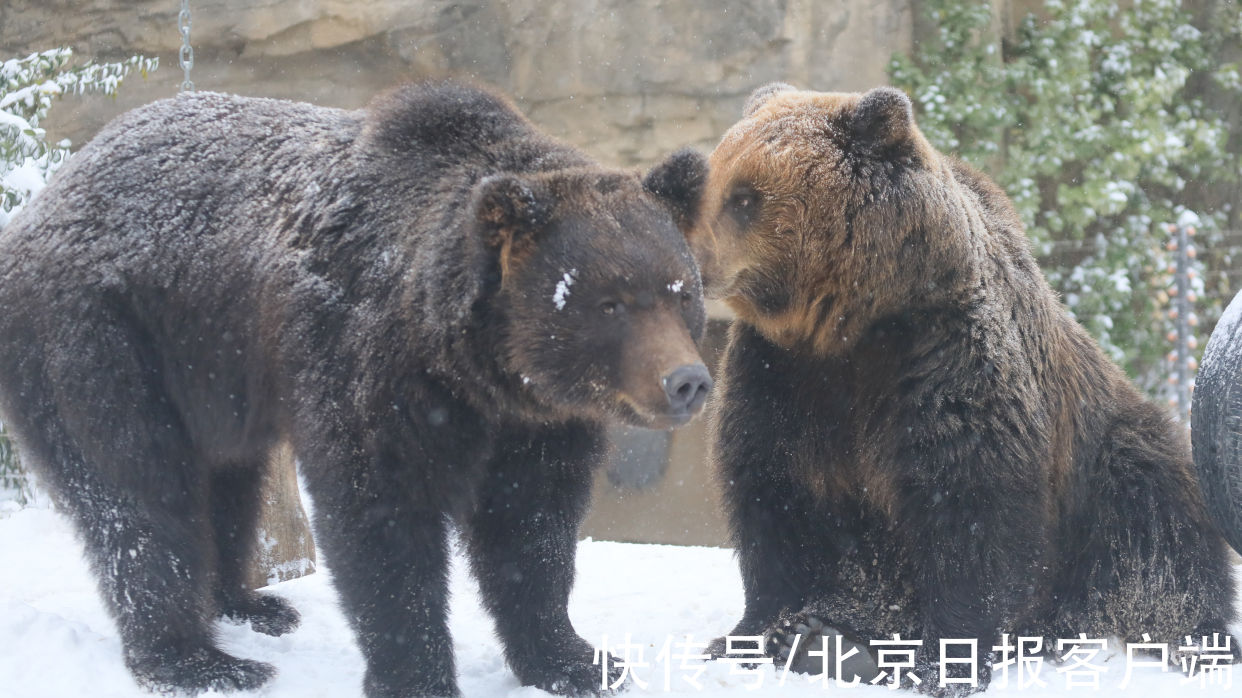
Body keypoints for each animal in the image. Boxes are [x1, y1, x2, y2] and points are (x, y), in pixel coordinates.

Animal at [0, 82, 710, 695]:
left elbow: (532, 526)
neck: (474, 366)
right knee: (140, 490)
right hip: (105, 337)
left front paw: (579, 660)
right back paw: (199, 659)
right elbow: (381, 517)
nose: (688, 382)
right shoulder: (367, 358)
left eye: (681, 291)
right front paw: (418, 675)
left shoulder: (534, 421)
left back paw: (251, 604)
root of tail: (35, 209)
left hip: (210, 373)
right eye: (610, 302)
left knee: (229, 481)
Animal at [695, 84, 1237, 690]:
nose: (690, 258)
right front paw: (761, 631)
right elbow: (773, 489)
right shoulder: (779, 375)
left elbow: (968, 504)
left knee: (1154, 528)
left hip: (1107, 461)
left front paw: (940, 663)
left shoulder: (944, 359)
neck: (849, 325)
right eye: (712, 181)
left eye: (745, 198)